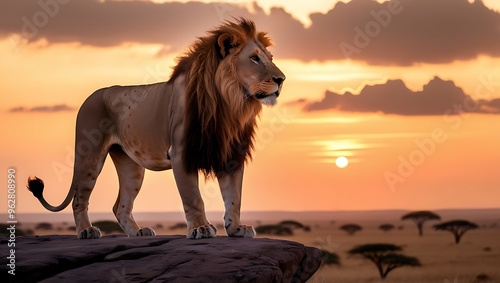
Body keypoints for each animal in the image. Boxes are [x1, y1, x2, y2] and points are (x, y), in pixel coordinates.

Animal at [26, 18, 286, 240]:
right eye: (254, 58)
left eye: (270, 57)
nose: (281, 79)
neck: (229, 104)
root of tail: (91, 96)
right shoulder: (181, 154)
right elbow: (193, 198)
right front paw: (201, 229)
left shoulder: (230, 155)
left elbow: (234, 197)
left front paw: (236, 228)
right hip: (89, 156)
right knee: (79, 198)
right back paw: (86, 231)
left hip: (131, 166)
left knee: (120, 205)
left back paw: (138, 233)